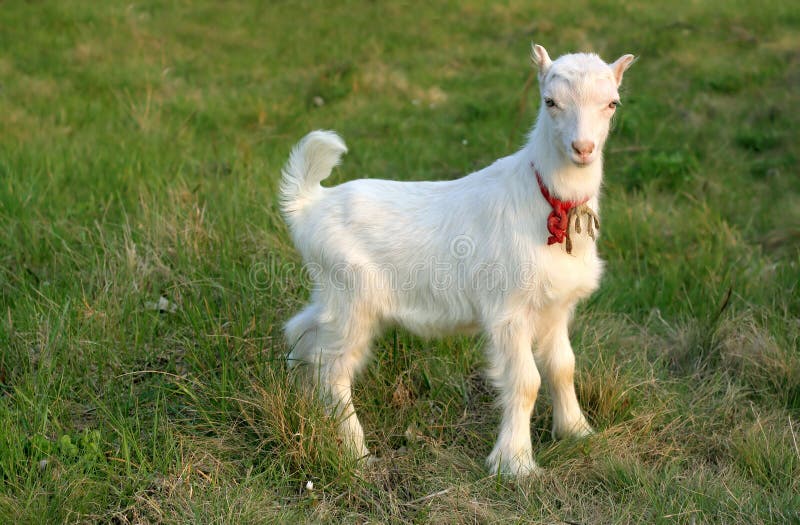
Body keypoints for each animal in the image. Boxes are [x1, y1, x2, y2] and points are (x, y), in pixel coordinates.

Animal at [278, 45, 636, 474]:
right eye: (550, 101)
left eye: (612, 103)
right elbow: (526, 382)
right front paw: (515, 464)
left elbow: (563, 368)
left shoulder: (554, 306)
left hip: (330, 292)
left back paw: (302, 401)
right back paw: (355, 452)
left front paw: (577, 432)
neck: (547, 200)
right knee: (333, 368)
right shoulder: (508, 310)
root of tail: (309, 205)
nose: (582, 149)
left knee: (302, 329)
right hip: (354, 299)